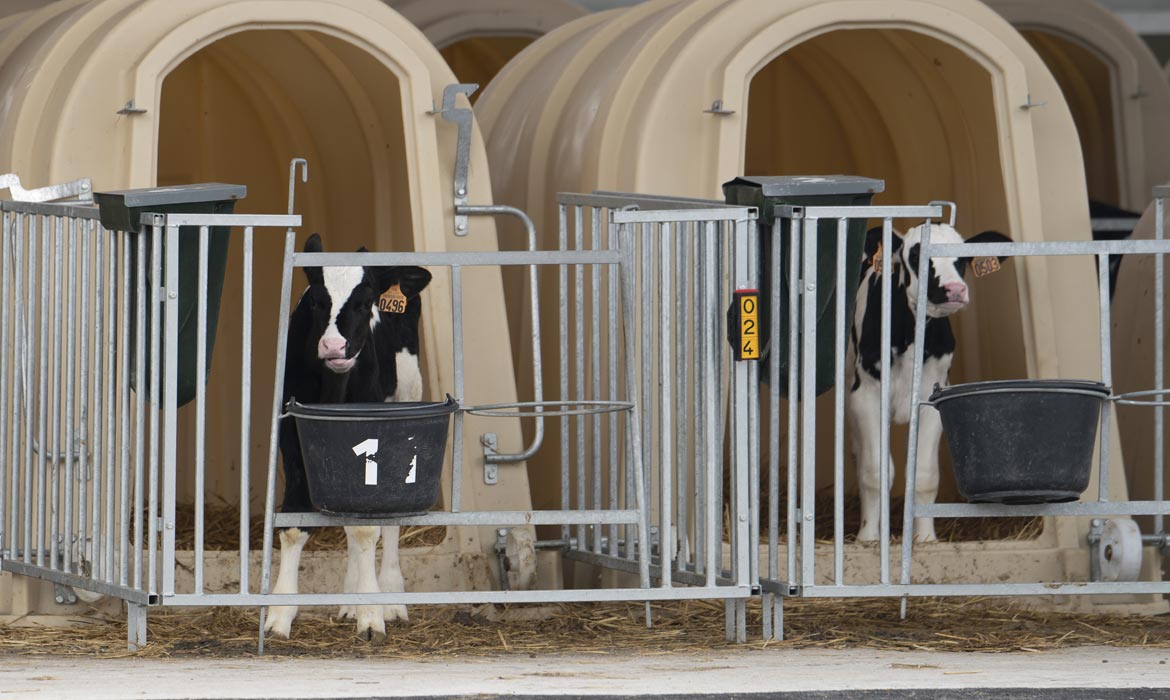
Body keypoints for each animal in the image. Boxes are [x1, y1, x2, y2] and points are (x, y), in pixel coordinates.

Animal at [263, 232, 432, 646]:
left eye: (366, 301)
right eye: (316, 300)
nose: (334, 348)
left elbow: (367, 526)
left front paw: (372, 615)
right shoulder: (291, 435)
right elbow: (295, 522)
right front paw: (279, 614)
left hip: (406, 400)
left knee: (388, 518)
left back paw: (390, 597)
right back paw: (350, 599)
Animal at [847, 223, 1010, 543]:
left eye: (963, 258)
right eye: (916, 254)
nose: (954, 290)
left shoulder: (932, 399)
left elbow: (923, 475)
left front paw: (925, 539)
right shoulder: (867, 394)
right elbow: (874, 472)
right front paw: (869, 537)